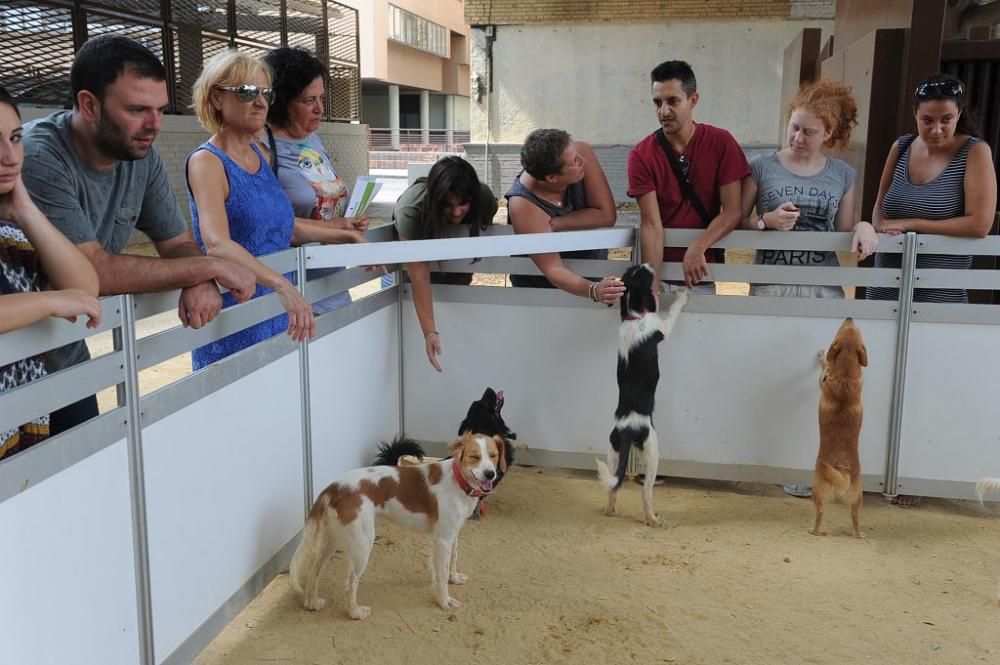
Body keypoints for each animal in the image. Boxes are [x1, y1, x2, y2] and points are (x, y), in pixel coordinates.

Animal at [290, 430, 508, 616]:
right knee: (350, 582)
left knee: (314, 573)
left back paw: (312, 604)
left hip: (331, 541)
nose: (490, 474)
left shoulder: (452, 534)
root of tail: (334, 487)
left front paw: (453, 579)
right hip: (363, 544)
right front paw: (444, 601)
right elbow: (442, 572)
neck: (457, 479)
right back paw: (355, 613)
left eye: (493, 455)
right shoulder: (443, 539)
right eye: (474, 457)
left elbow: (452, 560)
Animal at [592, 262, 688, 528]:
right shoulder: (662, 329)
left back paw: (610, 511)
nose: (648, 263)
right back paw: (653, 520)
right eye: (642, 275)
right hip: (653, 451)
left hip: (613, 452)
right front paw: (681, 296)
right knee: (646, 494)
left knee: (613, 487)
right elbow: (672, 313)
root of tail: (627, 429)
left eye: (633, 269)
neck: (632, 317)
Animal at [812, 316, 868, 540]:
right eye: (857, 329)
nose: (849, 317)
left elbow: (825, 365)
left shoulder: (822, 378)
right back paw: (858, 534)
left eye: (839, 330)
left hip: (816, 493)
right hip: (858, 499)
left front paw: (821, 356)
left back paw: (815, 531)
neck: (845, 375)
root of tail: (841, 470)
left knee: (819, 515)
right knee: (855, 520)